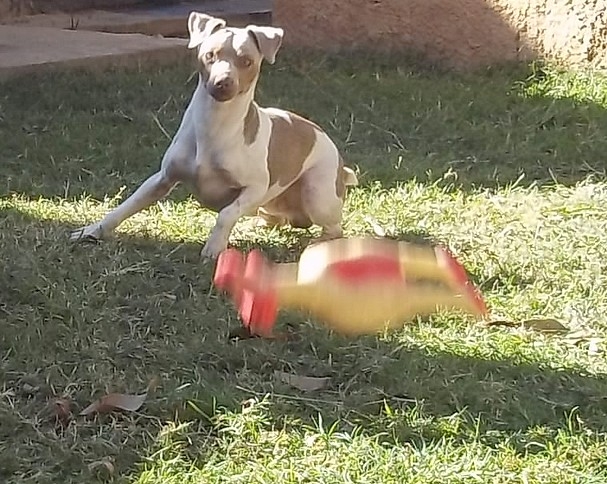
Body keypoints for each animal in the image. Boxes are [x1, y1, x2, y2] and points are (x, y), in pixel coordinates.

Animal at [70, 11, 356, 260]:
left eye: (247, 61)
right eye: (209, 55)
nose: (223, 82)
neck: (214, 125)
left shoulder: (255, 187)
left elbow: (226, 214)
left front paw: (214, 247)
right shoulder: (161, 179)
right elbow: (124, 207)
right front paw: (91, 231)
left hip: (316, 195)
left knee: (334, 229)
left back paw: (318, 243)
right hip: (273, 204)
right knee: (276, 218)